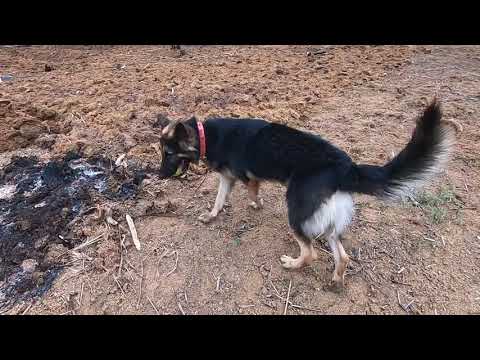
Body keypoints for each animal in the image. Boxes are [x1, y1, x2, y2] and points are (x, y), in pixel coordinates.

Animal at [156, 98, 460, 290]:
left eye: (168, 154)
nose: (158, 176)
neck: (206, 135)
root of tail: (346, 167)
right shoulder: (227, 178)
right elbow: (218, 200)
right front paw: (211, 216)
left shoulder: (245, 178)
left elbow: (251, 194)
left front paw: (256, 205)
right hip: (327, 219)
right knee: (342, 255)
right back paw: (335, 282)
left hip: (296, 211)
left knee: (310, 252)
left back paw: (292, 264)